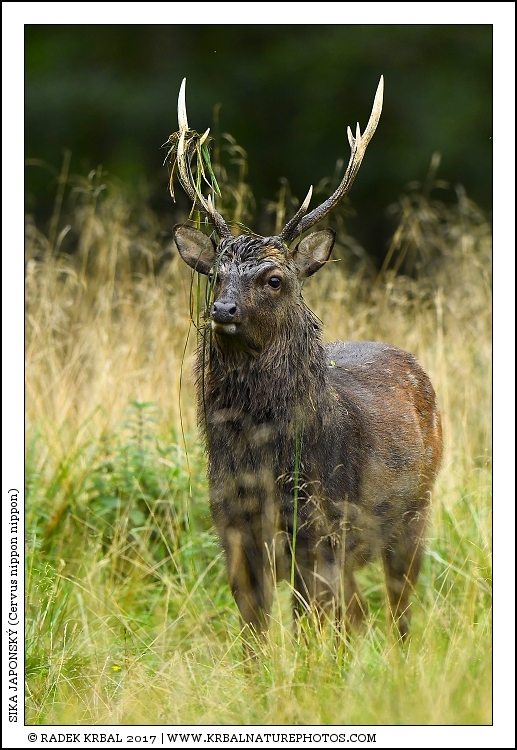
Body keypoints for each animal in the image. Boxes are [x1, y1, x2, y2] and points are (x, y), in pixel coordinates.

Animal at [170, 77, 442, 644]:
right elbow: (254, 627)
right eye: (216, 275)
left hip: (414, 513)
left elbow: (309, 620)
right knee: (359, 611)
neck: (262, 459)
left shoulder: (320, 521)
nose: (222, 310)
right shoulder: (231, 521)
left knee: (398, 609)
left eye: (274, 279)